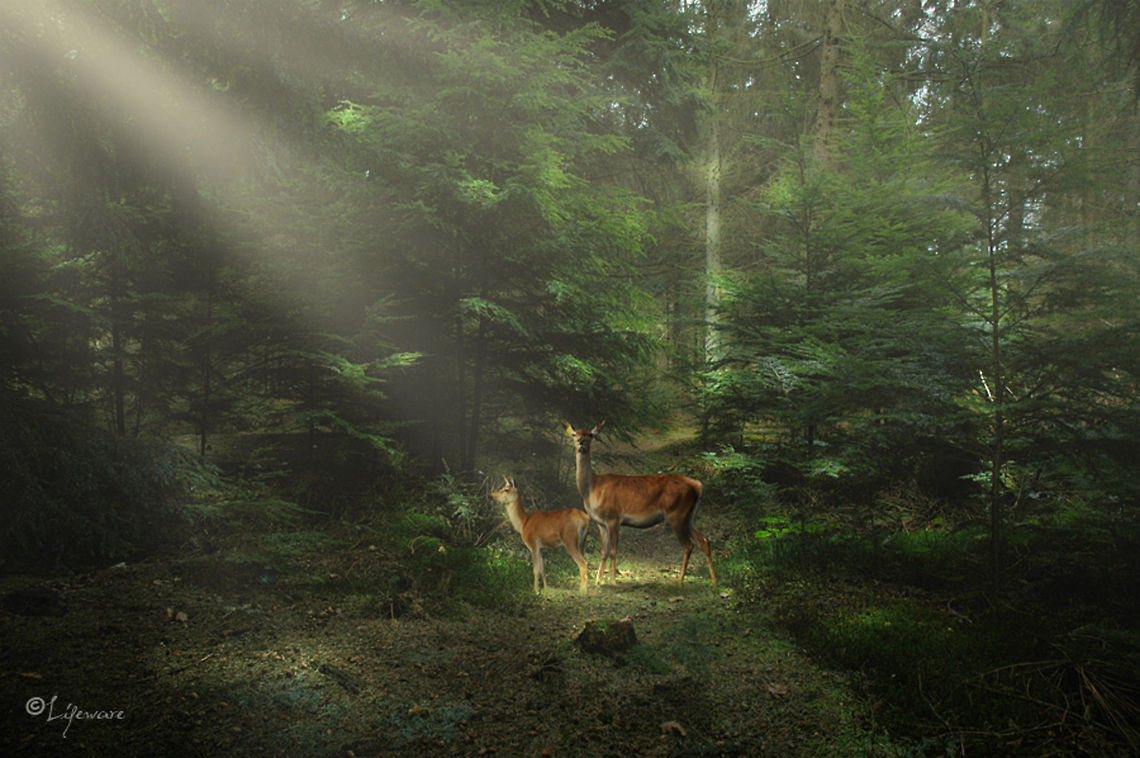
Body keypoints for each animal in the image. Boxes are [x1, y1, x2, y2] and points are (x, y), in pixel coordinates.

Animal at [562, 419, 716, 586]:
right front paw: (598, 581)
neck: (592, 489)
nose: (581, 441)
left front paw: (613, 581)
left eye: (590, 434)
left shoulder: (613, 517)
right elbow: (603, 551)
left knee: (688, 545)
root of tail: (698, 486)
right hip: (689, 516)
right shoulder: (600, 523)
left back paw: (680, 582)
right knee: (704, 541)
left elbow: (613, 551)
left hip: (677, 514)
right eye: (574, 434)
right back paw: (714, 582)